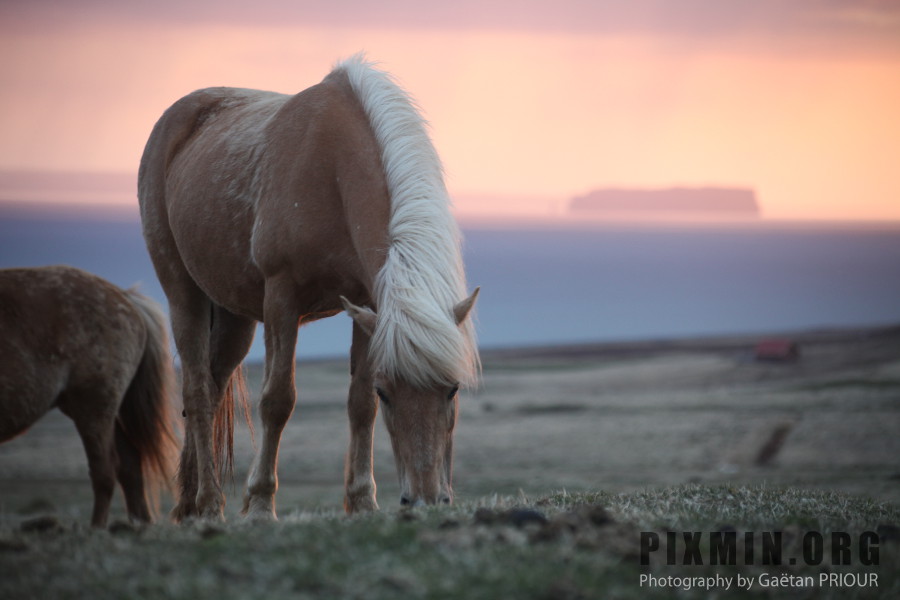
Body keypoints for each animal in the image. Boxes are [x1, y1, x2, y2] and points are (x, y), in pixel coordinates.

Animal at [0, 264, 178, 528]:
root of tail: (125, 297)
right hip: (99, 410)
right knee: (130, 464)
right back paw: (138, 525)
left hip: (93, 406)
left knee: (105, 471)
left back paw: (97, 528)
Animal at [139, 52, 478, 520]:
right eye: (389, 393)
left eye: (452, 389)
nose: (426, 499)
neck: (332, 169)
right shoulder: (282, 297)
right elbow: (278, 399)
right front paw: (261, 503)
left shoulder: (367, 305)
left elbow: (359, 404)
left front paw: (362, 501)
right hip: (183, 294)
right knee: (197, 390)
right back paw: (209, 504)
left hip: (234, 318)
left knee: (212, 386)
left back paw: (189, 504)